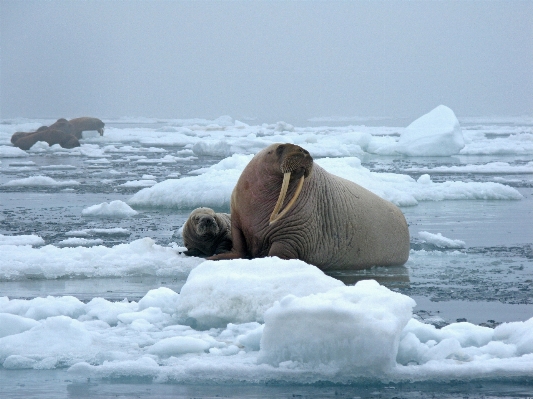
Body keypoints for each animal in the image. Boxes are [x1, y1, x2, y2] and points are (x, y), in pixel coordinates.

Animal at [210, 144, 410, 272]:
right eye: (280, 148)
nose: (304, 151)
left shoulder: (293, 234)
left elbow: (279, 252)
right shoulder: (237, 219)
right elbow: (239, 245)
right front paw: (214, 258)